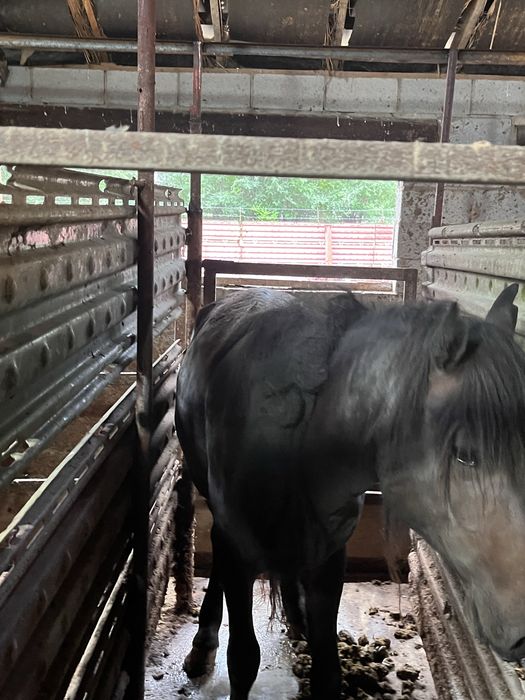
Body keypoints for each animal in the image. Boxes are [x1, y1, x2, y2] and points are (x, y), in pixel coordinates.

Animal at [175, 284, 525, 700]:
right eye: (466, 454)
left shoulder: (329, 556)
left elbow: (328, 671)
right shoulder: (239, 552)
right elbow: (243, 659)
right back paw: (203, 644)